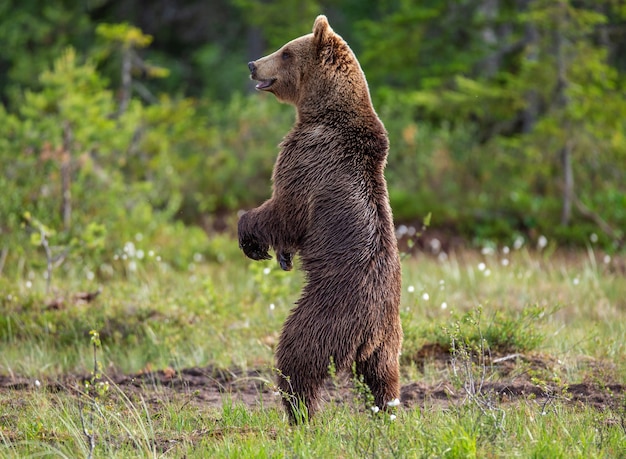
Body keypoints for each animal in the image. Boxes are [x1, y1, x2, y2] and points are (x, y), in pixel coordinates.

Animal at [239, 14, 400, 424]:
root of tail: (371, 331)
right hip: (389, 340)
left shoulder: (309, 157)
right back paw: (387, 413)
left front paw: (250, 236)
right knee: (384, 377)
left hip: (326, 313)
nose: (252, 64)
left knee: (297, 356)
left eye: (284, 51)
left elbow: (286, 208)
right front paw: (281, 255)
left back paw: (300, 411)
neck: (322, 111)